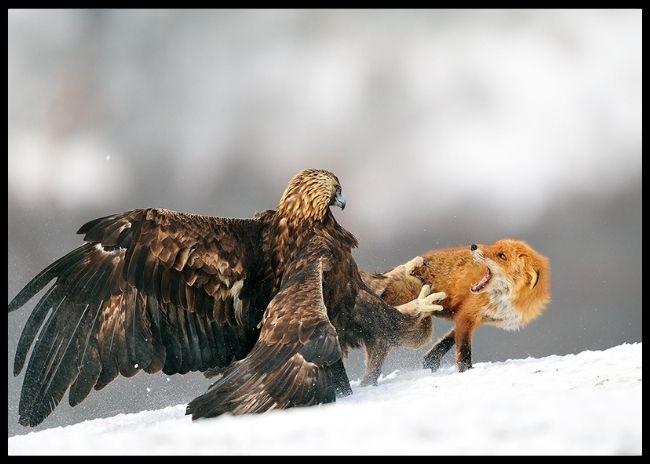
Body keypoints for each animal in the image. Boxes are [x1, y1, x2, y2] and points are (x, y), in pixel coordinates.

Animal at [359, 239, 550, 384]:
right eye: (493, 246)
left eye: (502, 255)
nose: (473, 246)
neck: (506, 300)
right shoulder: (467, 314)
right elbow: (463, 350)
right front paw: (466, 372)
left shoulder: (473, 317)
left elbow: (448, 340)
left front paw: (431, 361)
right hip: (421, 331)